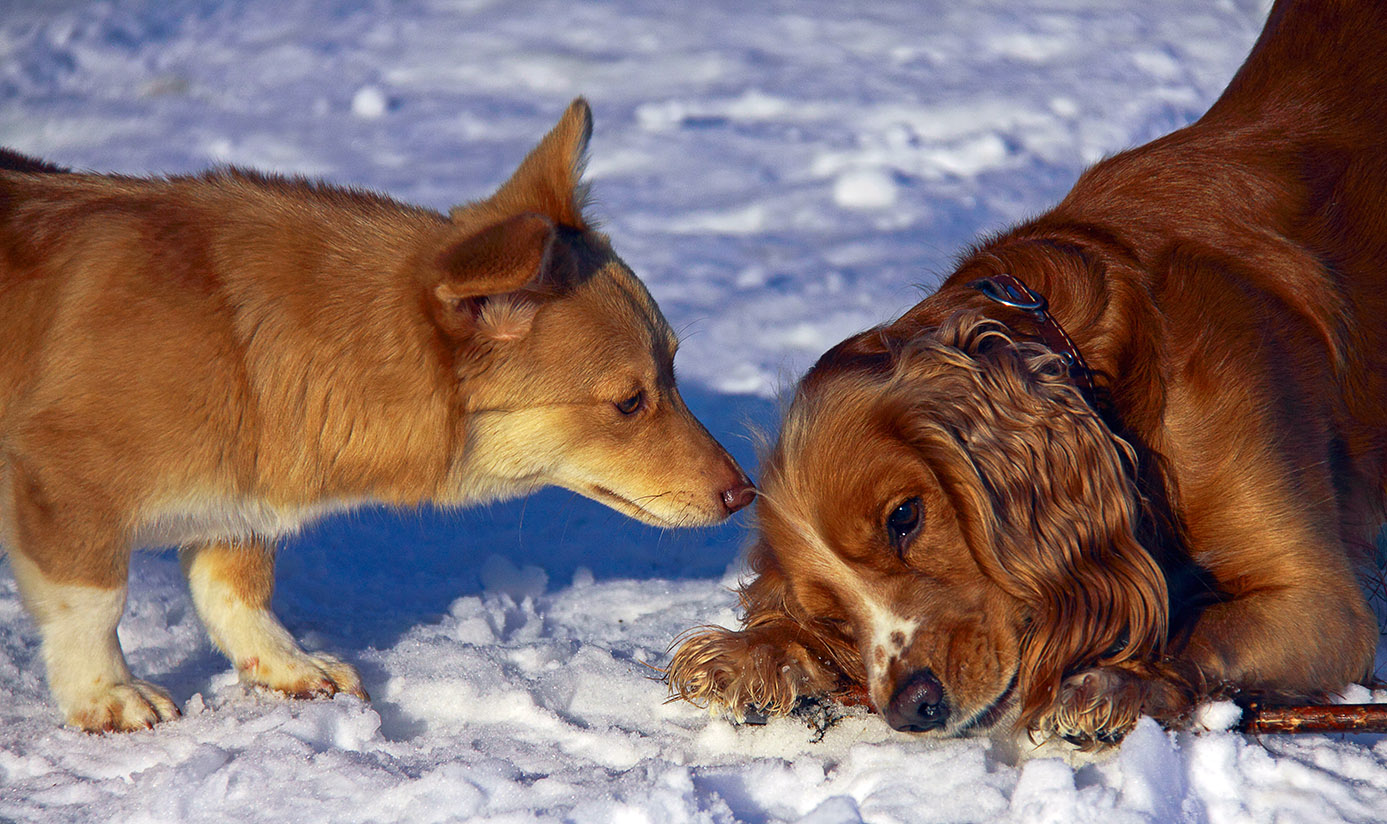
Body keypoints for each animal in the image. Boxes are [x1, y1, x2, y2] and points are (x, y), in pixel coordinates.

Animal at [0, 99, 754, 726]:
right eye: (629, 401)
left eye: (675, 369)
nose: (745, 494)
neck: (237, 341)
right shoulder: (60, 478)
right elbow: (93, 603)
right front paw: (106, 695)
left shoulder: (236, 504)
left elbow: (236, 589)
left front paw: (288, 666)